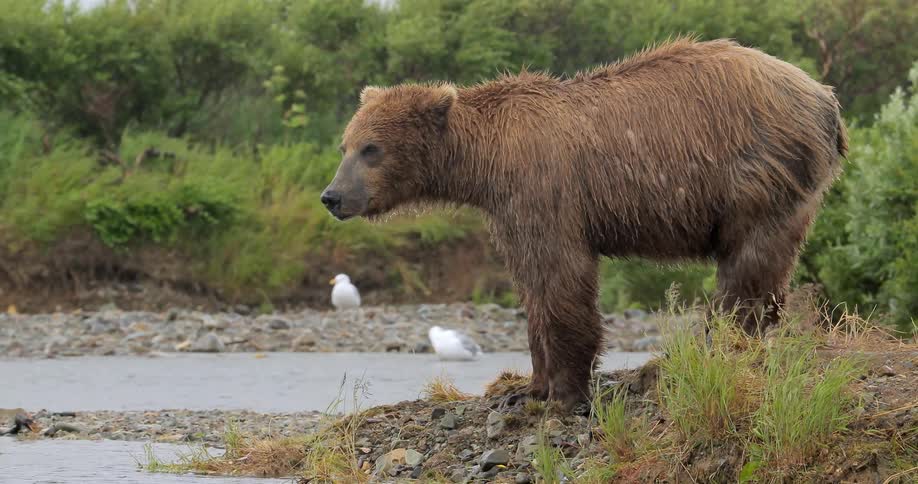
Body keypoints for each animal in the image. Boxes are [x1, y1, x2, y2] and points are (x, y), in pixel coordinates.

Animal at [321, 38, 848, 409]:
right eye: (346, 145)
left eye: (372, 148)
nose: (332, 196)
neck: (486, 165)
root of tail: (824, 97)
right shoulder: (510, 208)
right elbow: (532, 284)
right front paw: (530, 386)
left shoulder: (546, 189)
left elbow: (562, 279)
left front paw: (565, 390)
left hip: (756, 171)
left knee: (748, 265)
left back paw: (723, 344)